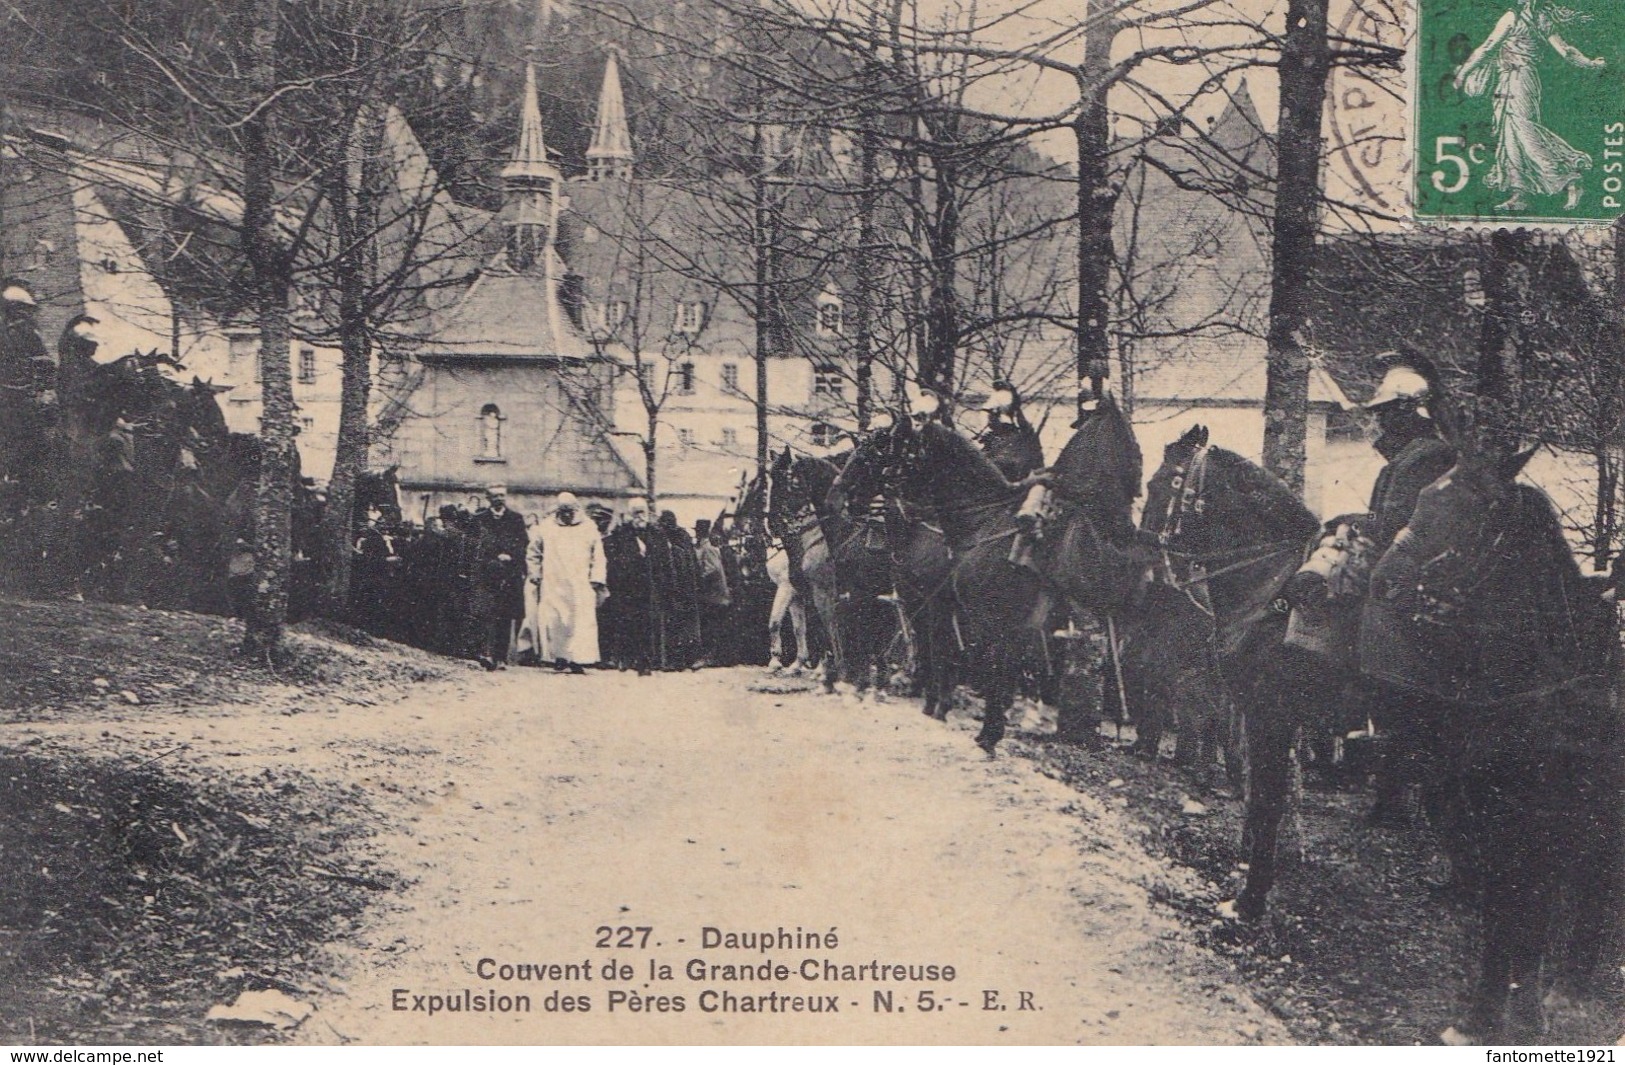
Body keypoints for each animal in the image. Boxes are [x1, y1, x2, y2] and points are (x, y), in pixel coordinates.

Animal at [1365, 432, 1618, 1040]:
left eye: (1475, 514)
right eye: (1427, 496)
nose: (1384, 579)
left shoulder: (1548, 822)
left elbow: (1530, 913)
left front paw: (1524, 1015)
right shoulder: (1493, 813)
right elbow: (1501, 910)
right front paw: (1481, 1015)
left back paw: (1571, 989)